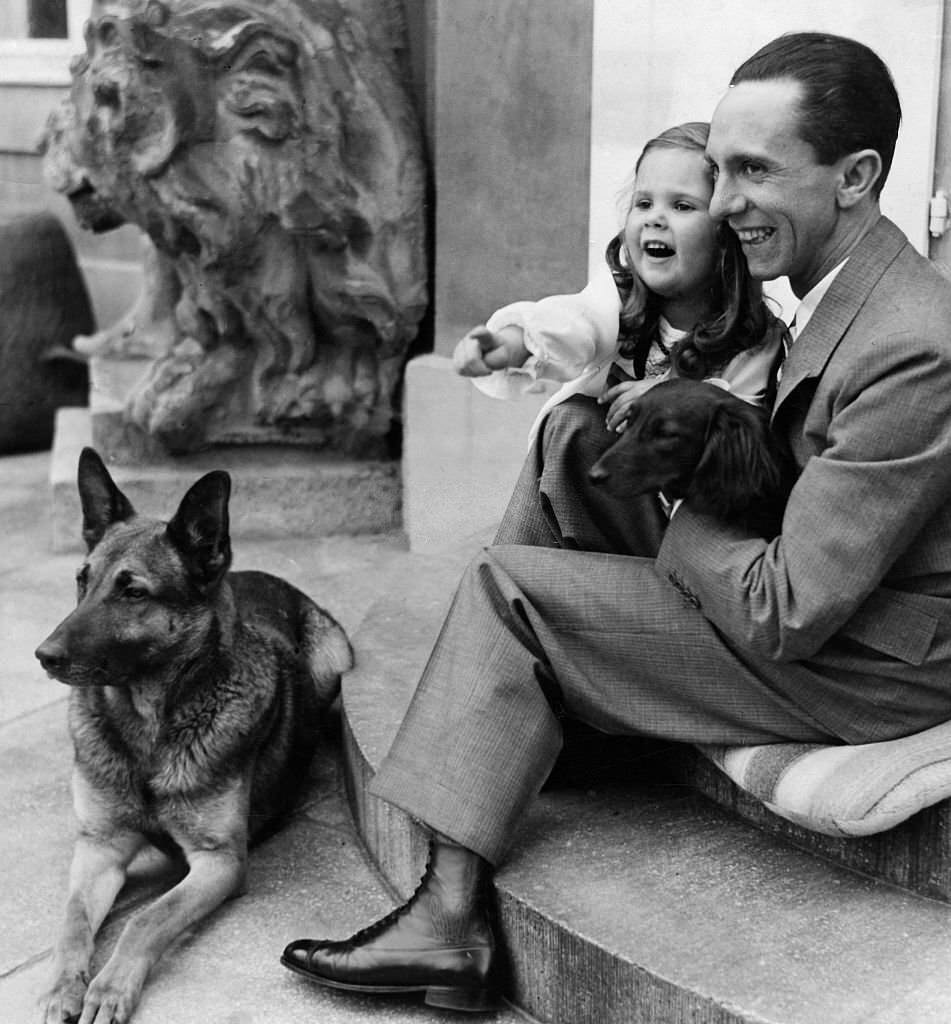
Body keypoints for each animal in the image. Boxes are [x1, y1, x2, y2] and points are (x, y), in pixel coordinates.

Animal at [33, 450, 354, 1024]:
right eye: (82, 581)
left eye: (133, 591)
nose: (44, 656)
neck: (148, 729)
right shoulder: (99, 845)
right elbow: (71, 920)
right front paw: (61, 985)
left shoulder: (219, 861)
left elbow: (147, 919)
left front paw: (110, 986)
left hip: (334, 658)